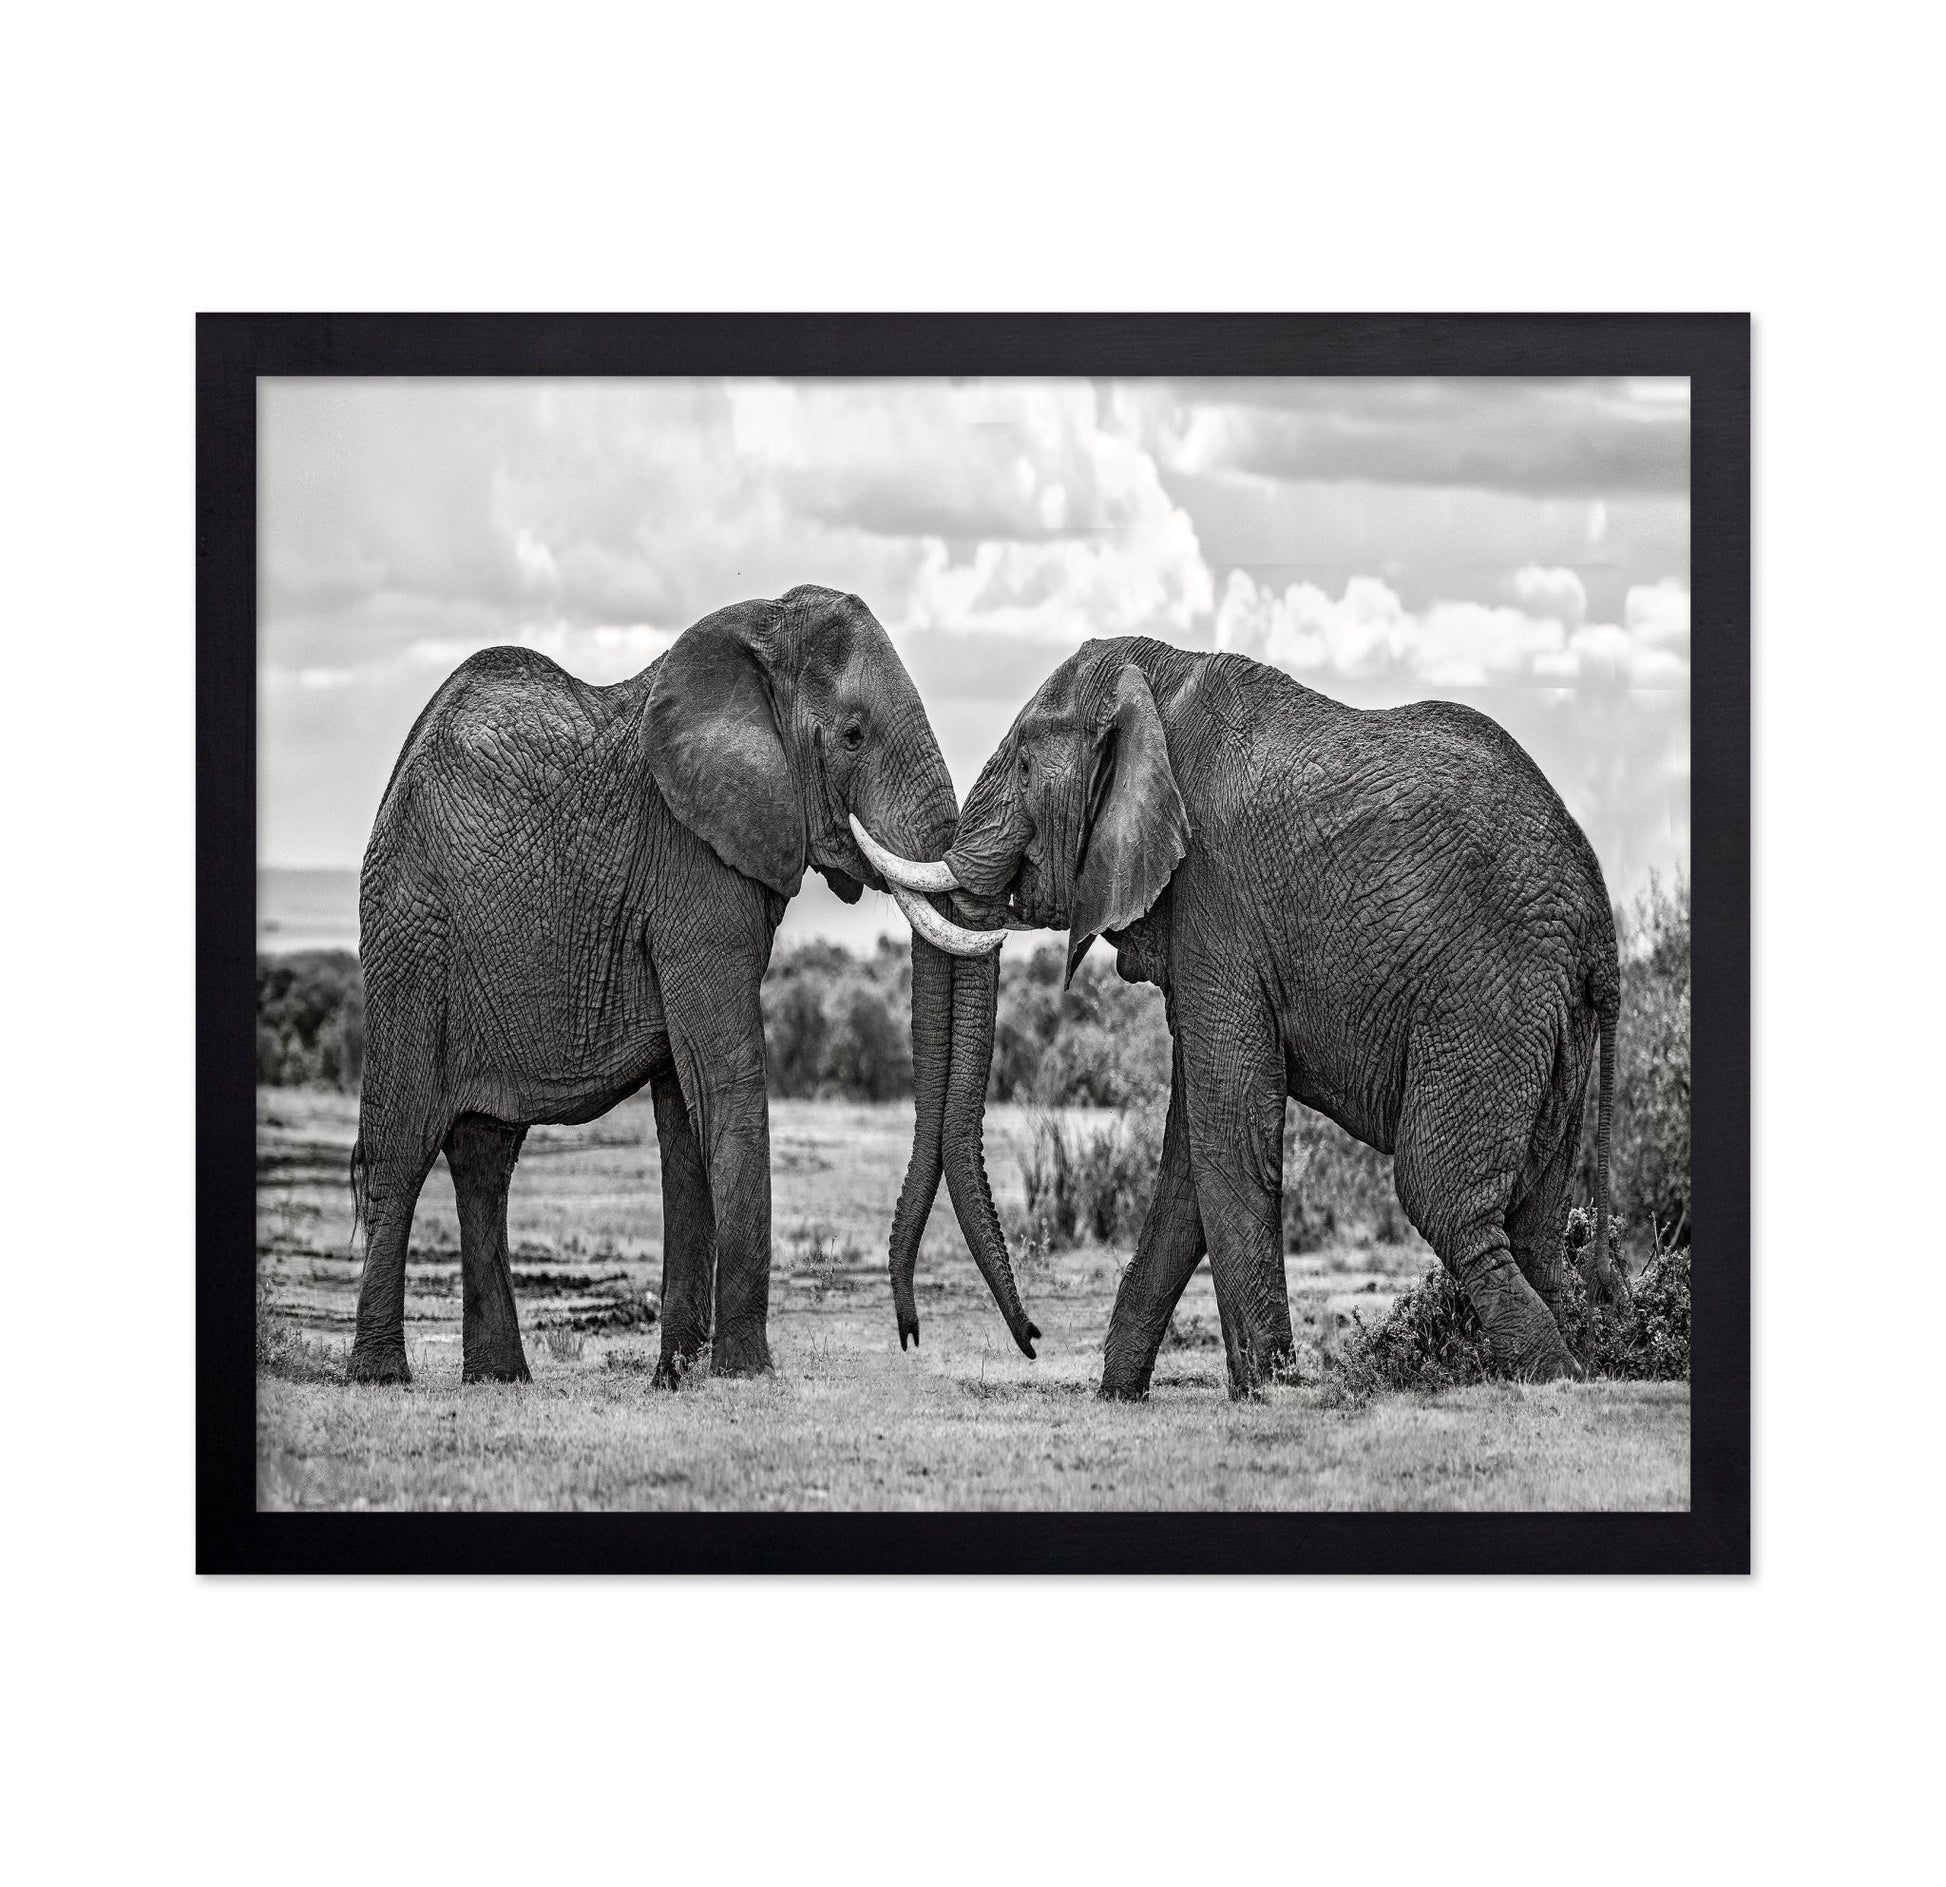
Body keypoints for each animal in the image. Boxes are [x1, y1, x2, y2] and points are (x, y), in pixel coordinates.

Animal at [345, 585, 1037, 1387]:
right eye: (854, 734)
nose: (911, 1334)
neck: (761, 634)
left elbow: (686, 1107)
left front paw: (675, 1377)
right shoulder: (691, 864)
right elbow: (723, 1074)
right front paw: (745, 1372)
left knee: (485, 1159)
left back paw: (499, 1379)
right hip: (410, 937)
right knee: (403, 1148)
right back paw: (380, 1376)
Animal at [863, 635, 1624, 1399]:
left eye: (1023, 764)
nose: (1033, 1339)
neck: (1154, 685)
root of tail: (1600, 922)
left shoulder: (1216, 897)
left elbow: (1227, 1127)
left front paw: (1267, 1392)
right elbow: (1188, 1156)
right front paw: (1120, 1395)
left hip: (1488, 998)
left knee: (1444, 1200)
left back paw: (1556, 1377)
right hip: (1554, 1023)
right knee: (1536, 1221)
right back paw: (1573, 1360)